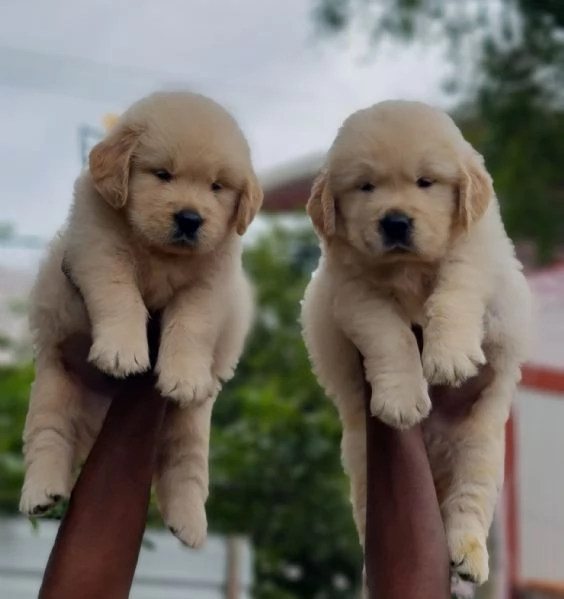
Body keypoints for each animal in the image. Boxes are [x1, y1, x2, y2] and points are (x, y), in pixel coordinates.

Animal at [19, 90, 262, 548]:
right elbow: (121, 297)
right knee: (48, 437)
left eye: (217, 187)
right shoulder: (98, 249)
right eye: (162, 174)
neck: (159, 252)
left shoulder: (210, 283)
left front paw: (182, 376)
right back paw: (41, 492)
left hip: (192, 419)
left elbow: (192, 324)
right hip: (53, 383)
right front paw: (121, 353)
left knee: (185, 462)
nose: (190, 218)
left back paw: (189, 523)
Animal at [302, 99, 532, 584]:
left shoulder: (474, 254)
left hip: (481, 446)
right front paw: (402, 399)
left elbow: (453, 293)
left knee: (468, 503)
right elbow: (389, 333)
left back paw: (467, 556)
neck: (406, 269)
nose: (395, 222)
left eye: (426, 182)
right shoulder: (352, 291)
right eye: (366, 186)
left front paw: (450, 359)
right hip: (362, 457)